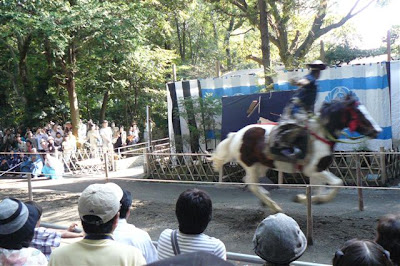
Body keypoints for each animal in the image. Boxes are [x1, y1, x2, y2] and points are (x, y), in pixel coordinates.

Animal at [211, 94, 382, 213]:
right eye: (359, 113)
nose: (377, 130)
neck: (321, 135)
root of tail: (236, 135)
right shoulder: (312, 169)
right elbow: (337, 183)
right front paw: (310, 199)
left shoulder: (318, 170)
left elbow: (320, 189)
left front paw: (307, 199)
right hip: (251, 164)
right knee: (252, 184)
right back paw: (274, 205)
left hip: (261, 165)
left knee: (251, 182)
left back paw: (267, 200)